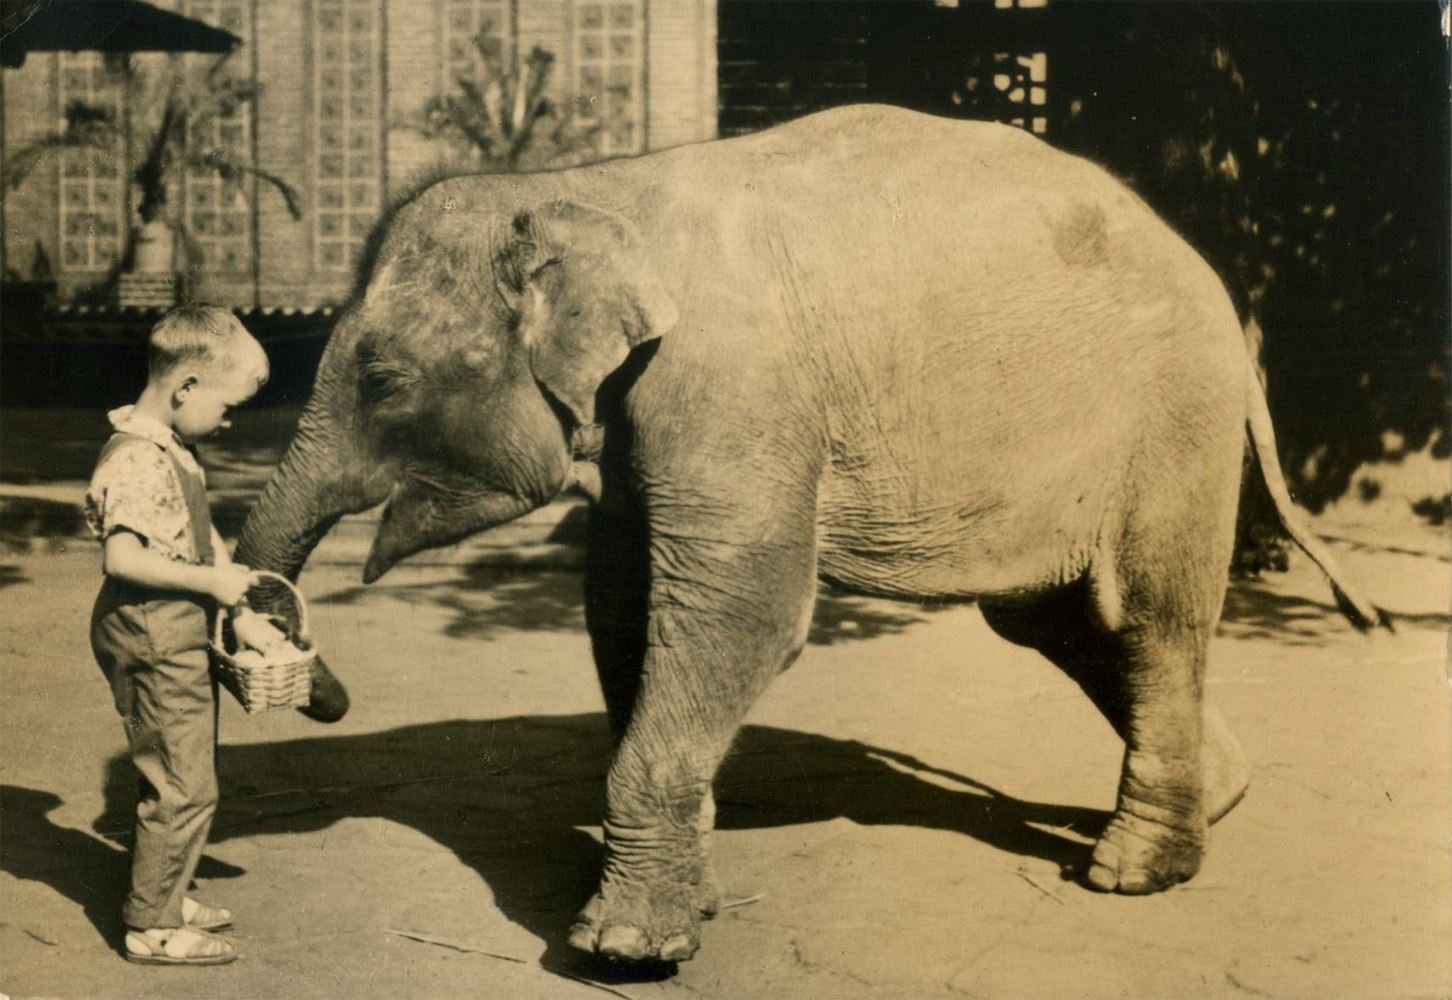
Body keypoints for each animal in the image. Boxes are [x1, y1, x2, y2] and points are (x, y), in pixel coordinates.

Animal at [235, 105, 1383, 964]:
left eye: (383, 380)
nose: (320, 693)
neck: (593, 188)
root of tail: (1222, 297)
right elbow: (625, 609)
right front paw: (686, 901)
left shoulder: (732, 392)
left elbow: (740, 610)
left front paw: (624, 947)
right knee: (1060, 623)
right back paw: (1218, 798)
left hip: (1171, 422)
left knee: (1144, 616)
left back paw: (1132, 870)